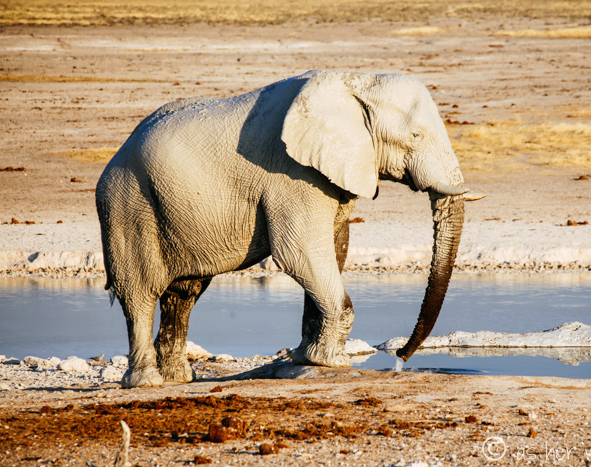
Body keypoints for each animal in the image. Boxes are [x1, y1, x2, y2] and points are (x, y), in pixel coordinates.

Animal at [98, 69, 486, 390]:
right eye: (416, 136)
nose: (401, 358)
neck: (356, 80)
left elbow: (334, 248)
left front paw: (308, 358)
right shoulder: (290, 174)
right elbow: (300, 252)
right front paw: (333, 362)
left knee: (184, 292)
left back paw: (179, 378)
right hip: (127, 204)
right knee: (140, 292)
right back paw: (146, 383)